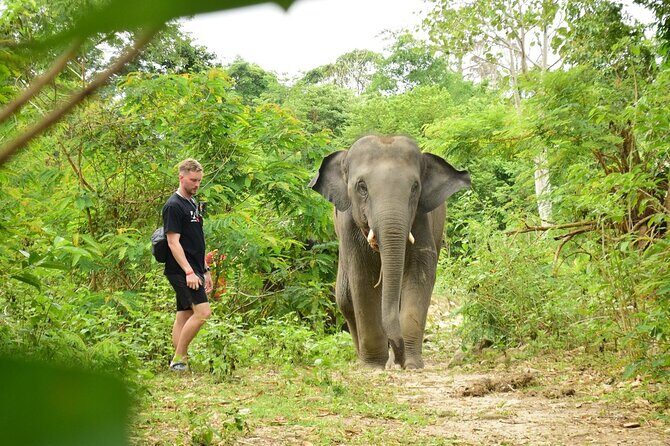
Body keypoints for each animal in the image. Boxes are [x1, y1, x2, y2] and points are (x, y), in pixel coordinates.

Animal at [309, 135, 470, 369]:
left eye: (415, 187)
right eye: (362, 187)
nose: (400, 361)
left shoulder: (422, 218)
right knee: (345, 299)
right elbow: (363, 280)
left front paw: (411, 364)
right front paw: (374, 365)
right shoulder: (349, 227)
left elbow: (420, 273)